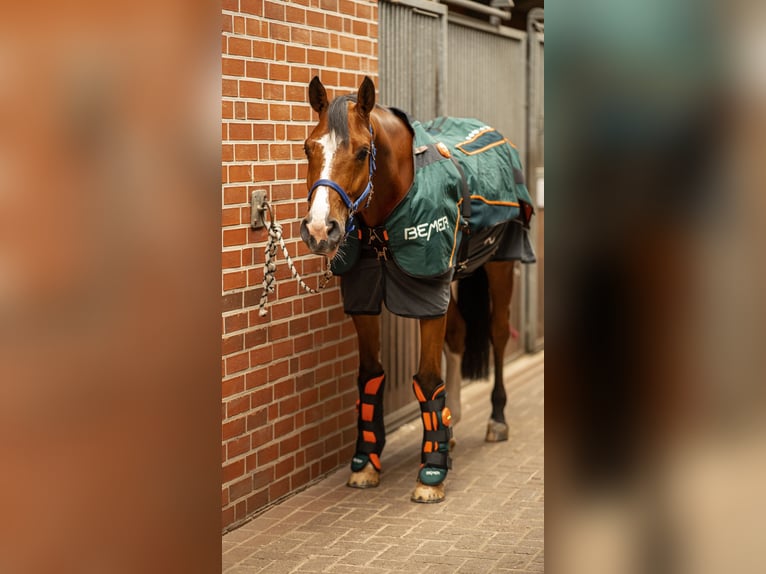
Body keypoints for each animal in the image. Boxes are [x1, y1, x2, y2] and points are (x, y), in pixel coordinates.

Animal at [300, 76, 534, 503]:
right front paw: (366, 462)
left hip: (500, 265)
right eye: (309, 147)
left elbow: (426, 379)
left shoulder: (428, 297)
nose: (320, 230)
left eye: (362, 152)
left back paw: (496, 420)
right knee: (458, 335)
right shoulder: (364, 299)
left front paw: (432, 471)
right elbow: (370, 376)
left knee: (497, 334)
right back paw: (451, 426)